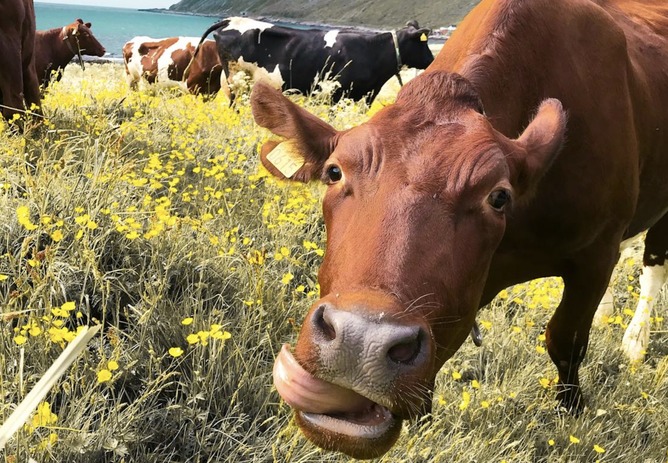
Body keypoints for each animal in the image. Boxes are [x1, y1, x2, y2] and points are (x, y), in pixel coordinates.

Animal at [195, 17, 433, 104]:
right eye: (424, 43)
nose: (432, 59)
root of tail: (231, 19)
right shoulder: (338, 93)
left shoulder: (365, 97)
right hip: (237, 78)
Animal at [250, 0, 668, 459]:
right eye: (334, 172)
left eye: (498, 196)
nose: (360, 342)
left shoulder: (594, 254)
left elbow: (566, 340)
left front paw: (571, 410)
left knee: (653, 265)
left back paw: (635, 341)